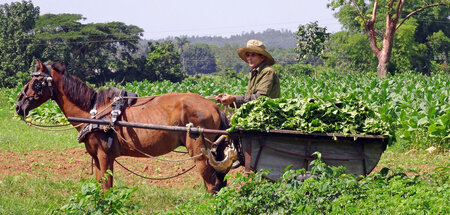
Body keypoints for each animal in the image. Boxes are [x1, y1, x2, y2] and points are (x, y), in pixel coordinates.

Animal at [15, 60, 237, 193]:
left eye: (35, 83)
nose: (18, 106)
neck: (93, 111)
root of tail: (214, 106)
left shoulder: (105, 155)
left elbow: (106, 188)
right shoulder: (97, 157)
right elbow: (101, 187)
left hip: (200, 152)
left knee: (213, 185)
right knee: (220, 183)